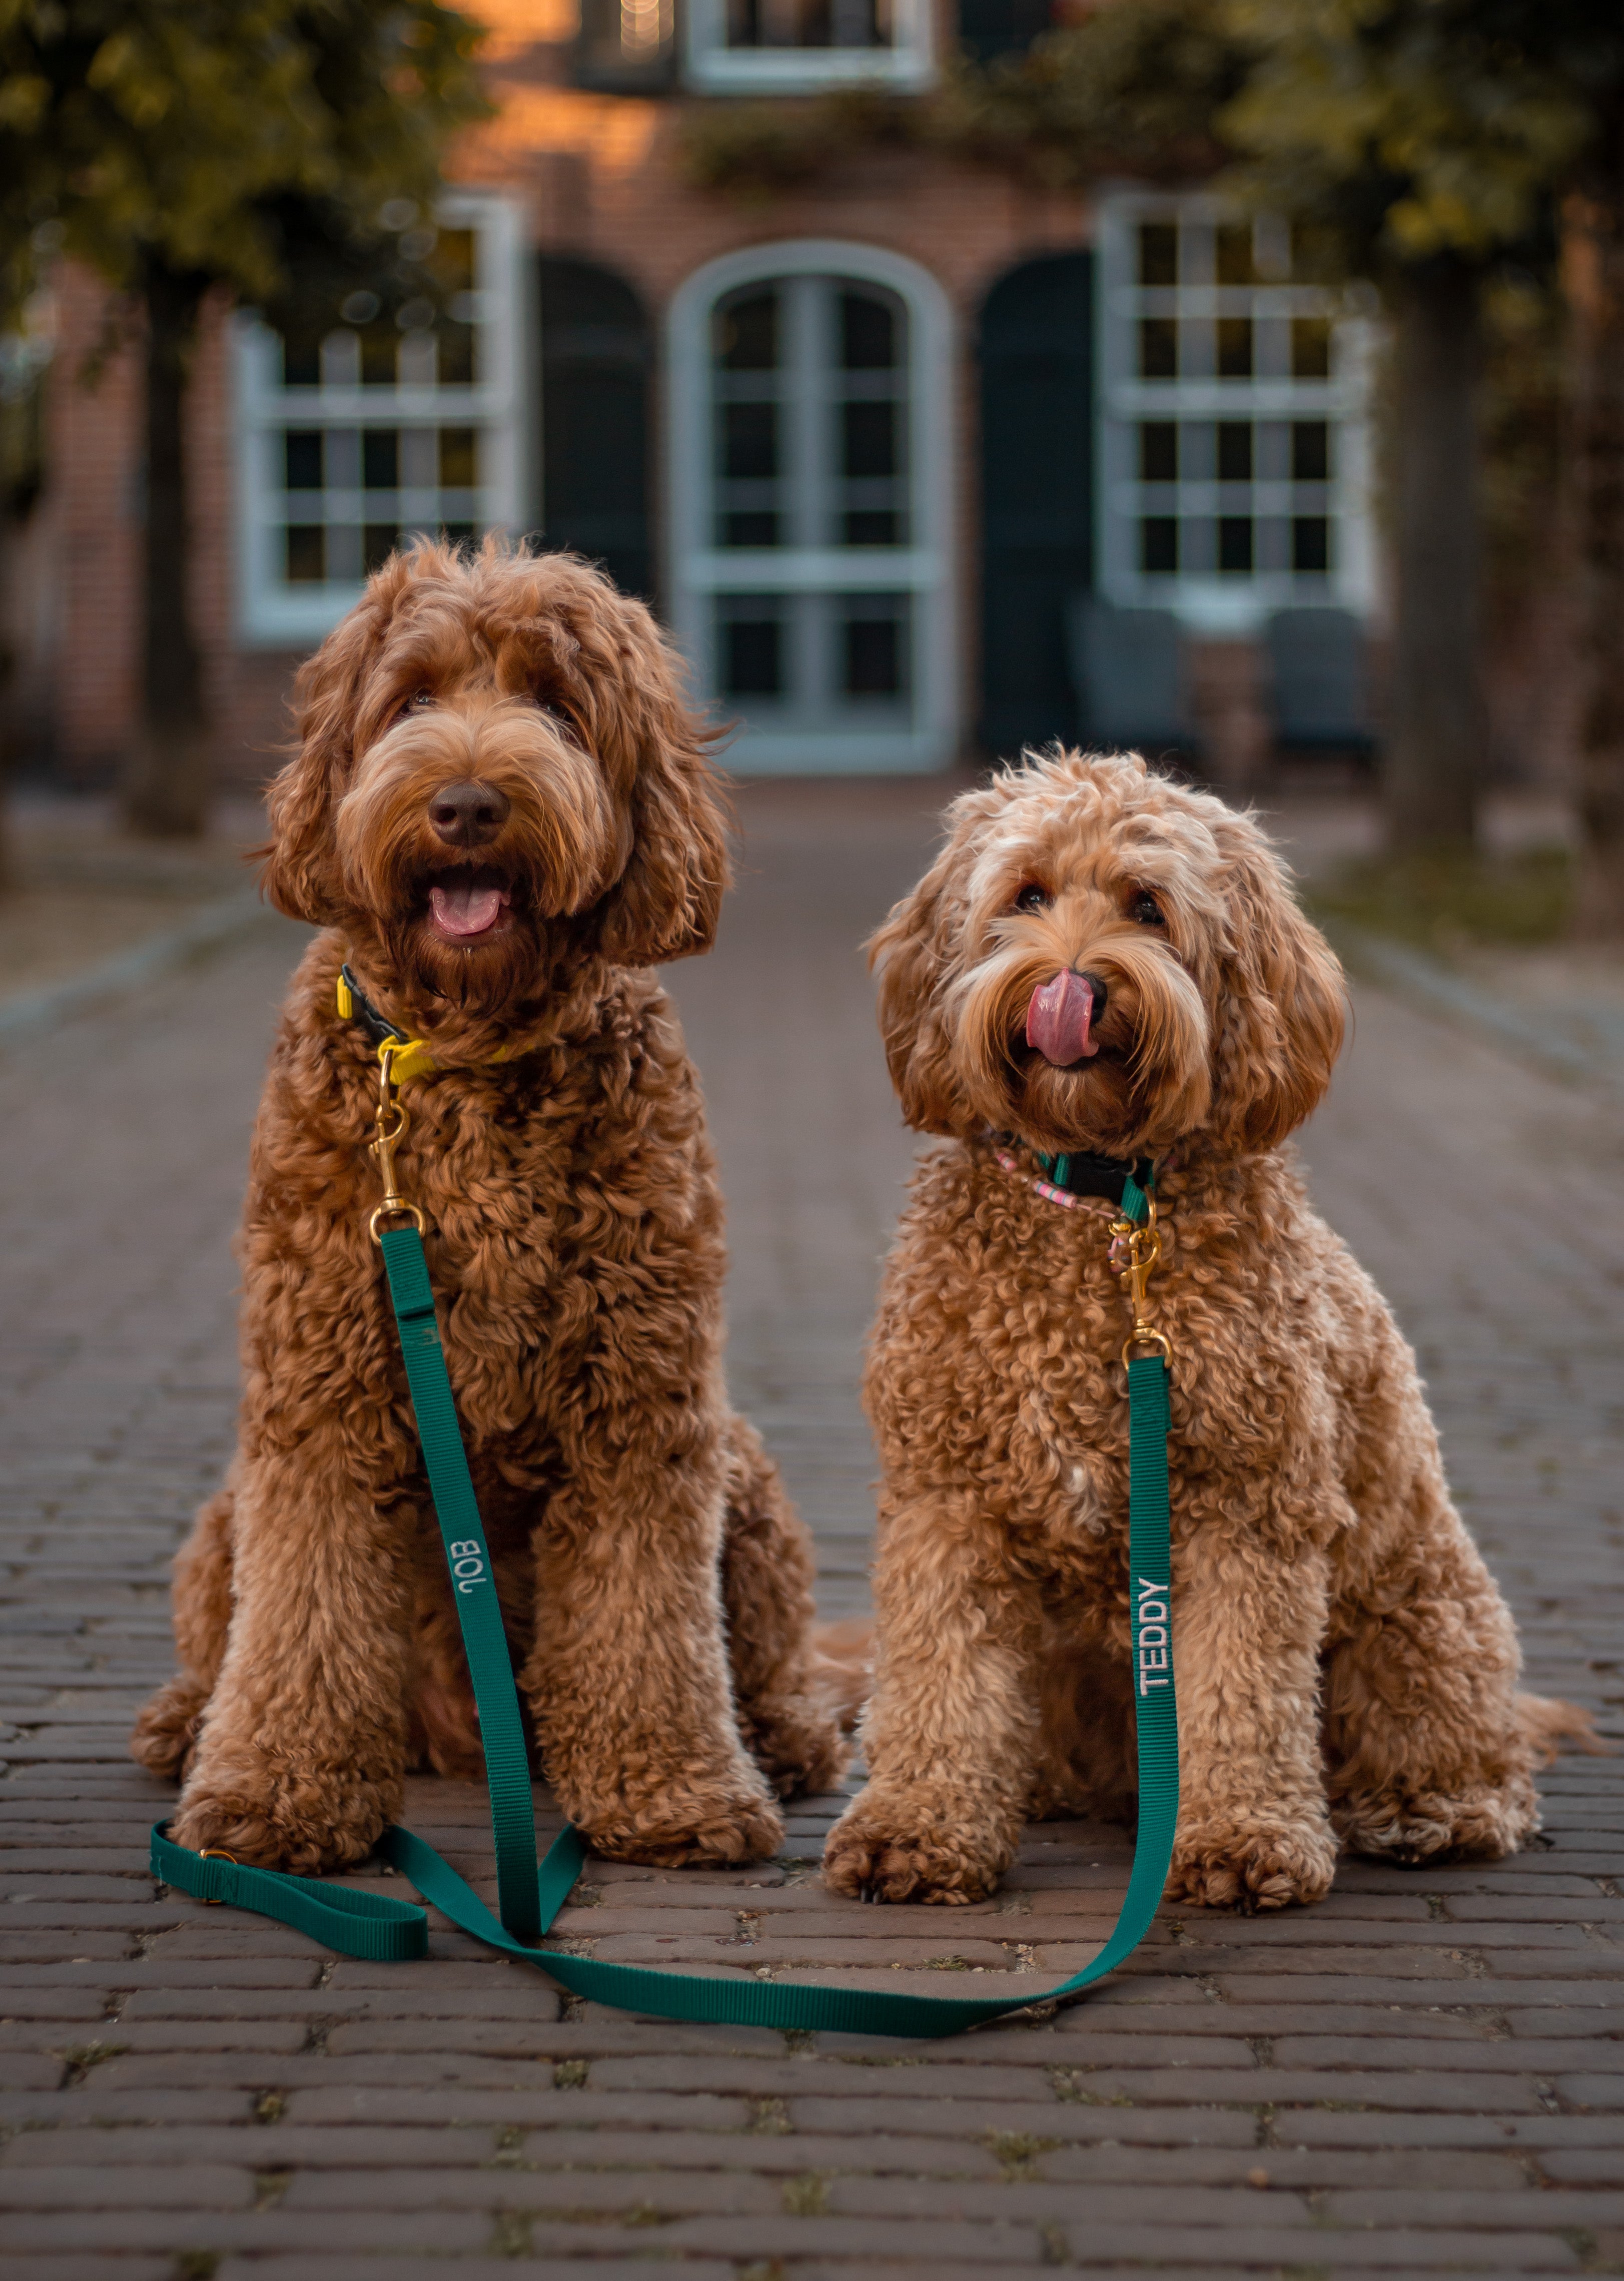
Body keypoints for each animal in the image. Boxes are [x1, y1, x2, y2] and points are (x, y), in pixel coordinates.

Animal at [132, 543, 844, 1879]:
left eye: (557, 706)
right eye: (409, 698)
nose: (464, 804)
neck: (462, 1051)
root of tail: (465, 1736)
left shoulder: (643, 1399)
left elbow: (645, 1616)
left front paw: (671, 1789)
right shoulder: (320, 1395)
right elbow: (301, 1606)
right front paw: (273, 1793)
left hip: (748, 1480)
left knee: (769, 1657)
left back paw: (780, 1736)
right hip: (223, 1513)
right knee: (227, 1633)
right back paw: (188, 1721)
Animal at [826, 757, 1587, 1916]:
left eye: (1147, 906)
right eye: (1027, 894)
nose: (1073, 984)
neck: (1105, 1208)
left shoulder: (1249, 1505)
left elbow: (1242, 1691)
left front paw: (1243, 1838)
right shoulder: (946, 1500)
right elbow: (939, 1677)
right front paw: (916, 1825)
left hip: (1422, 1610)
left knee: (1467, 1747)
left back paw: (1432, 1809)